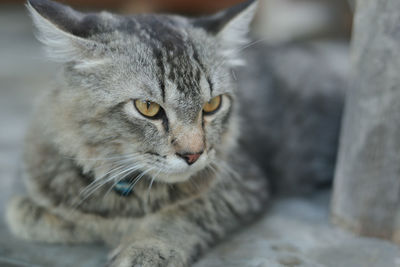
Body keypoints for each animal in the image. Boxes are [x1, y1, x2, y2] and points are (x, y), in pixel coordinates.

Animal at [4, 0, 346, 266]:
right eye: (147, 108)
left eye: (212, 105)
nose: (193, 155)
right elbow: (26, 214)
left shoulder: (242, 181)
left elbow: (184, 213)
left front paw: (147, 247)